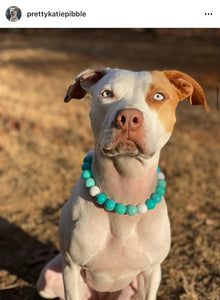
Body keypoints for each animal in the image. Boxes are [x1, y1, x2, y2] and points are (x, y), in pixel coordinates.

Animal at [37, 68, 207, 300]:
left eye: (158, 96)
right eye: (107, 94)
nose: (128, 117)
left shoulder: (151, 271)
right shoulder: (71, 267)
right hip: (47, 278)